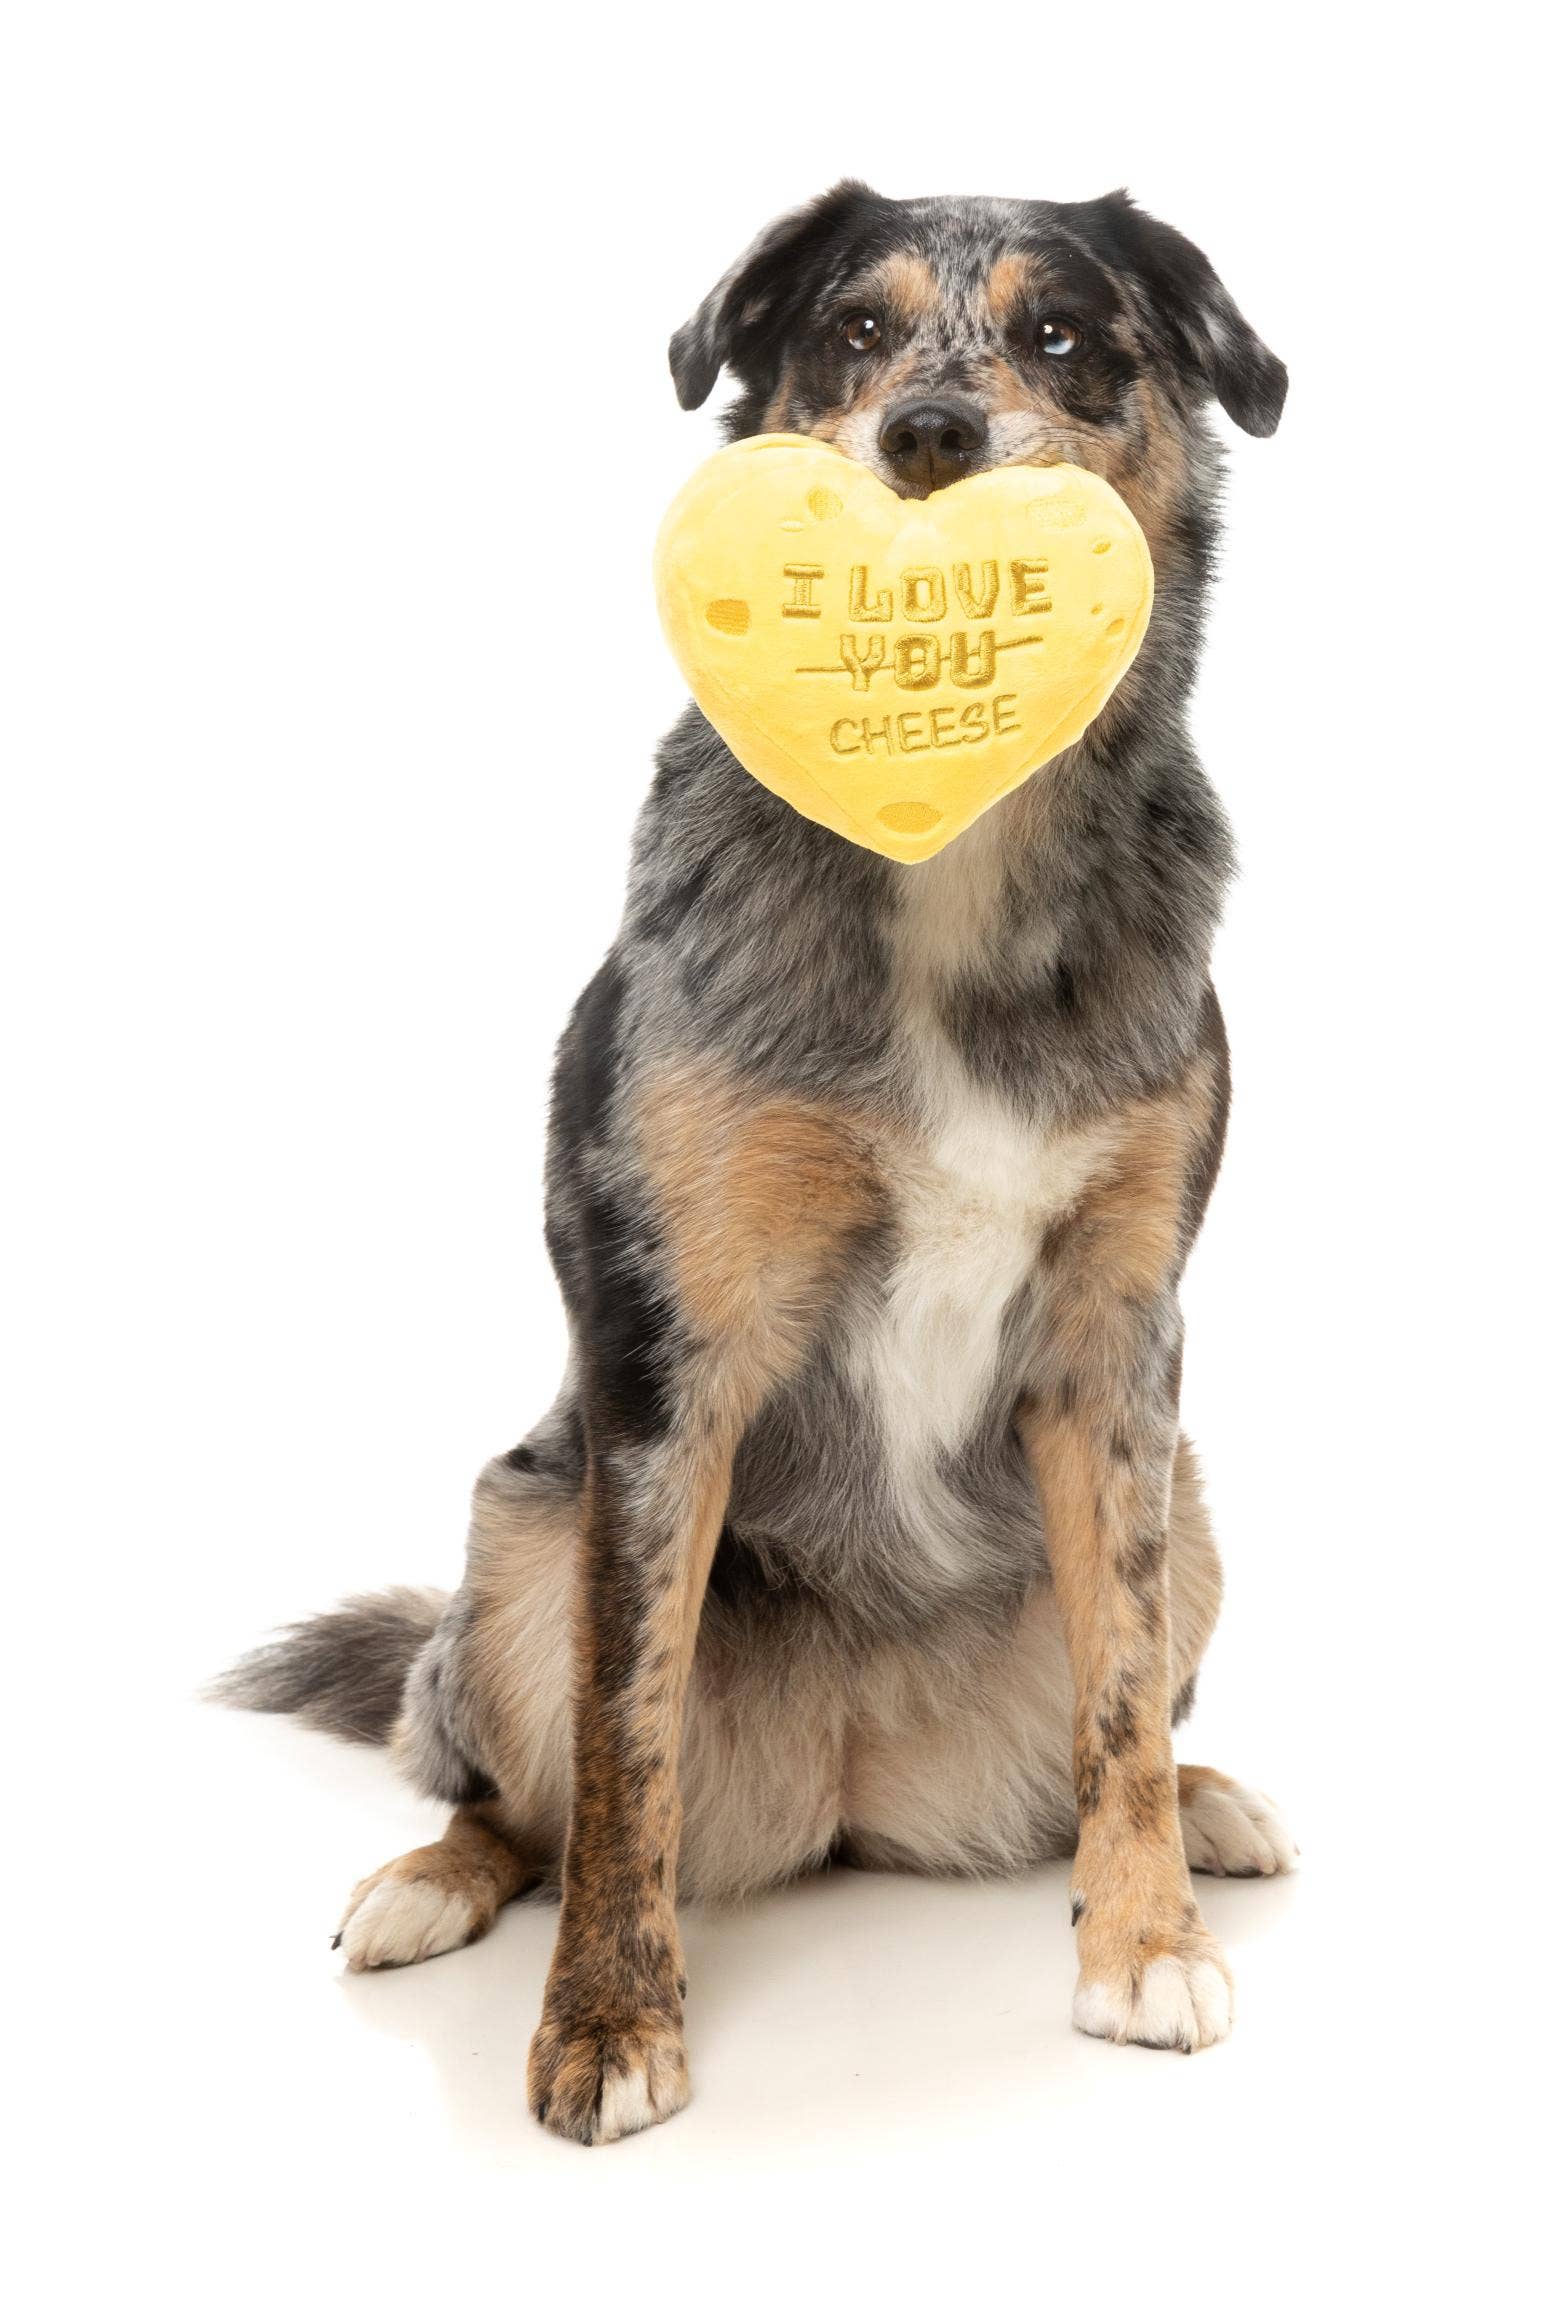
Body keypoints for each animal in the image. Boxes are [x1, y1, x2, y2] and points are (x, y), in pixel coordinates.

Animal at [219, 183, 1294, 2145]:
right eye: (853, 331)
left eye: (1063, 337)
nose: (928, 435)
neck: (952, 853)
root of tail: (852, 1787)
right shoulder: (672, 1367)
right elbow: (625, 1743)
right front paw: (604, 2024)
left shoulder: (1120, 1347)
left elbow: (1118, 1694)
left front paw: (1146, 1938)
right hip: (519, 1538)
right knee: (509, 1788)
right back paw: (429, 1883)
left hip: (1196, 1507)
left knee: (1115, 1719)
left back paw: (1206, 1811)